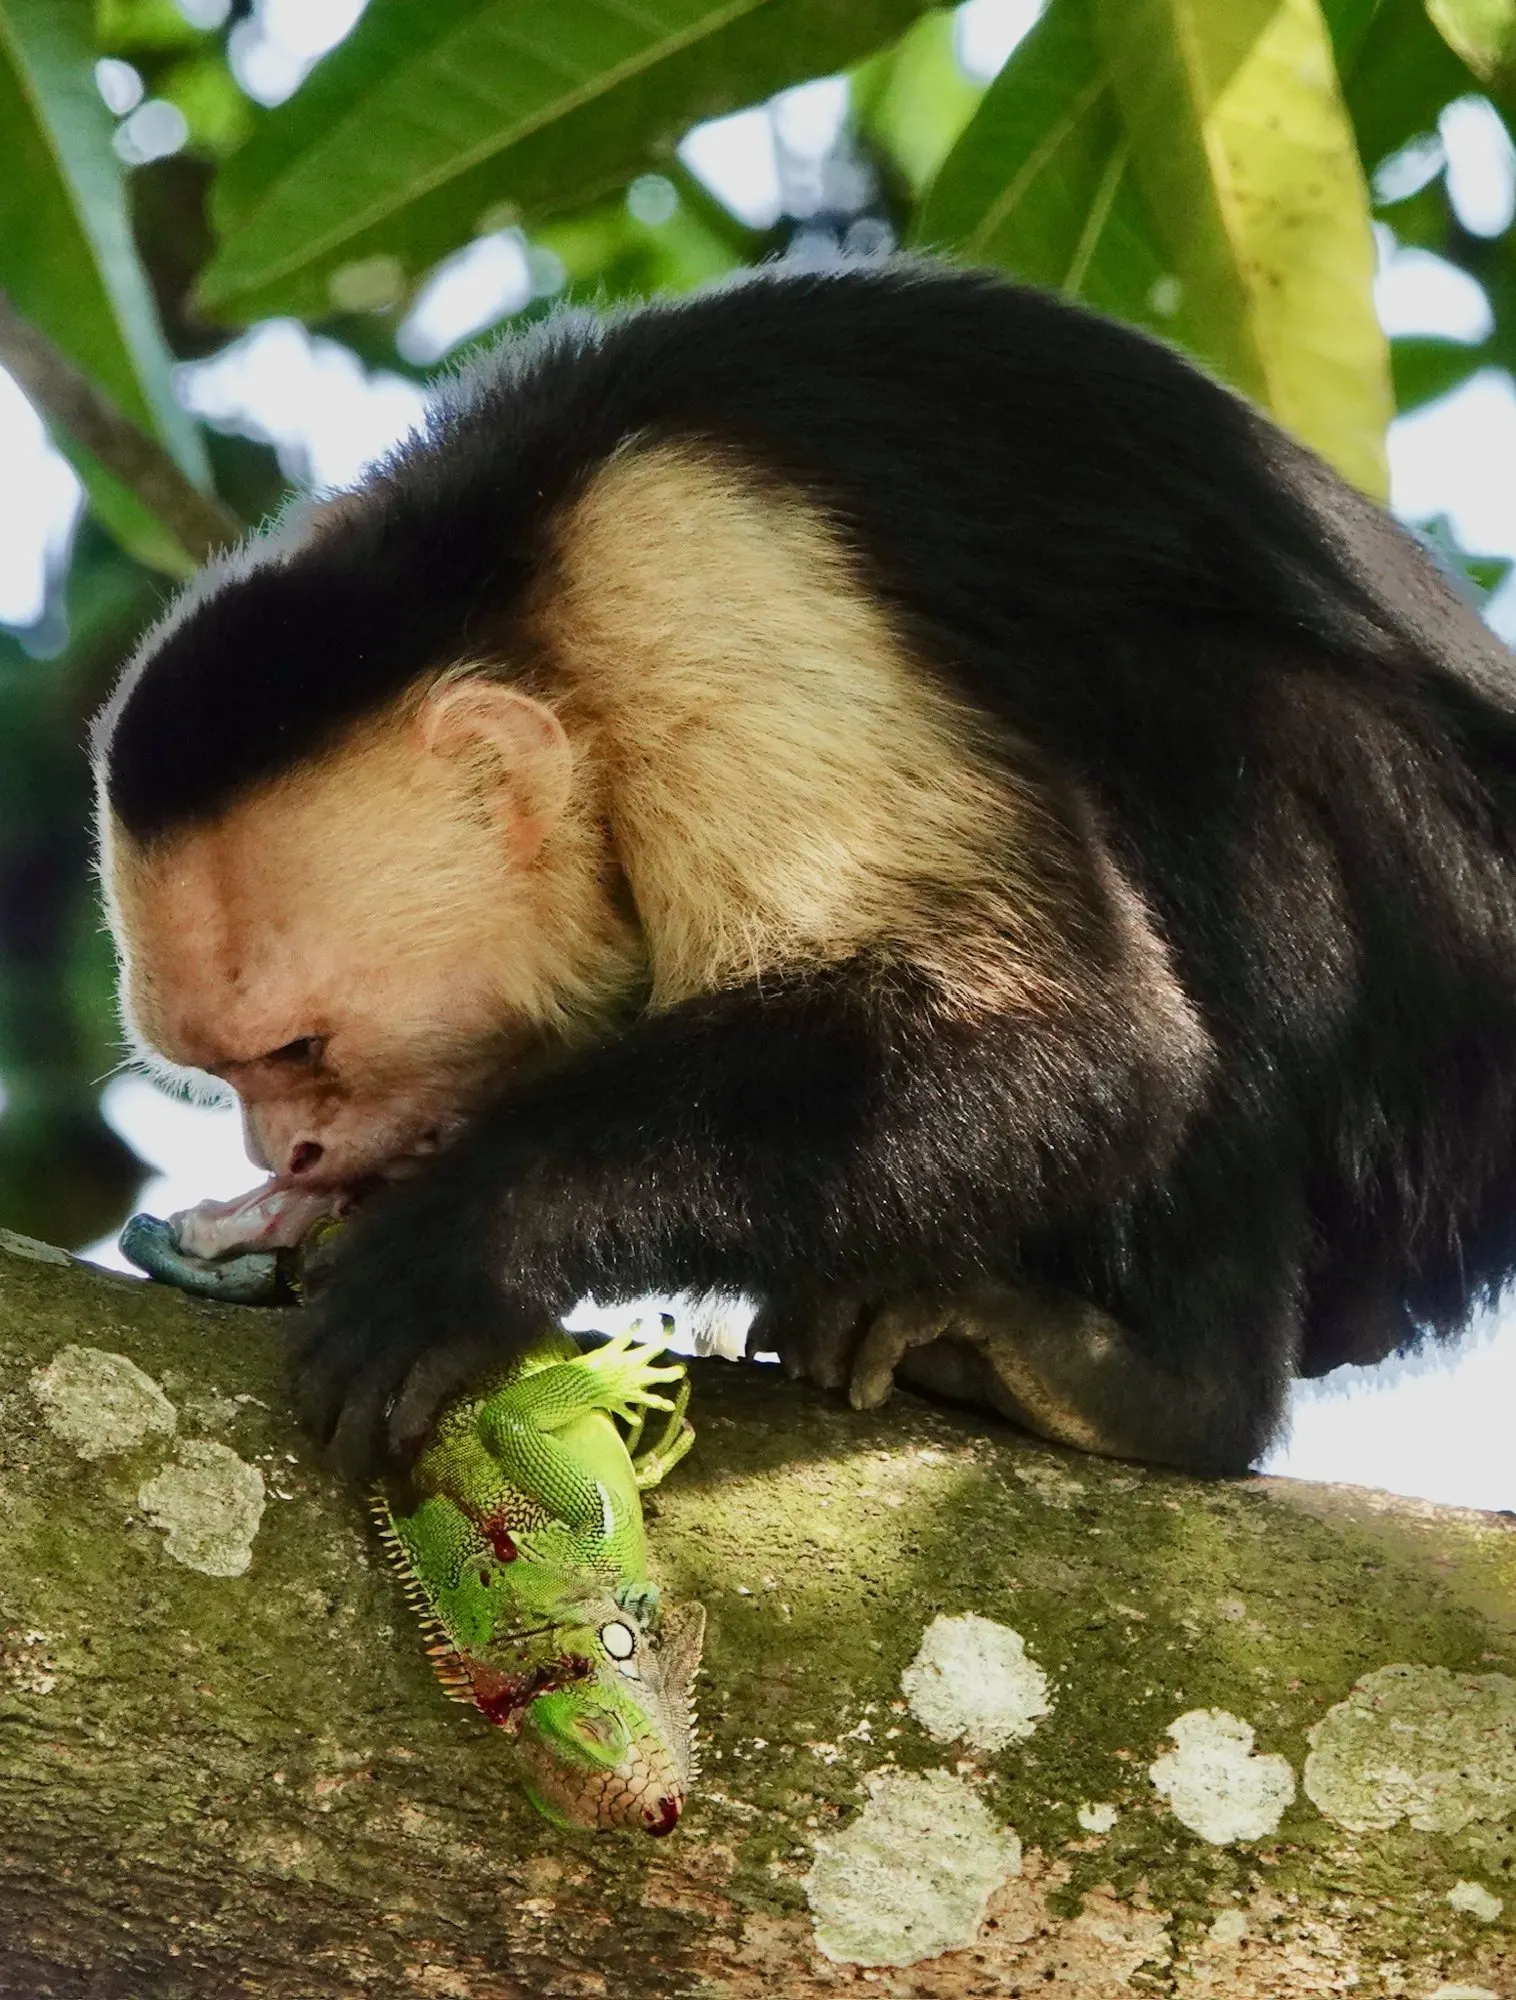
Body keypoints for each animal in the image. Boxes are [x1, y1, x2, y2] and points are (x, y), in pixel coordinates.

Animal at [91, 257, 1516, 1480]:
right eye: (227, 1078)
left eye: (300, 1051)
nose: (291, 1147)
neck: (506, 568)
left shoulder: (691, 567)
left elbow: (1062, 1036)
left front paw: (469, 1238)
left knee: (1220, 717)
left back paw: (1172, 1381)